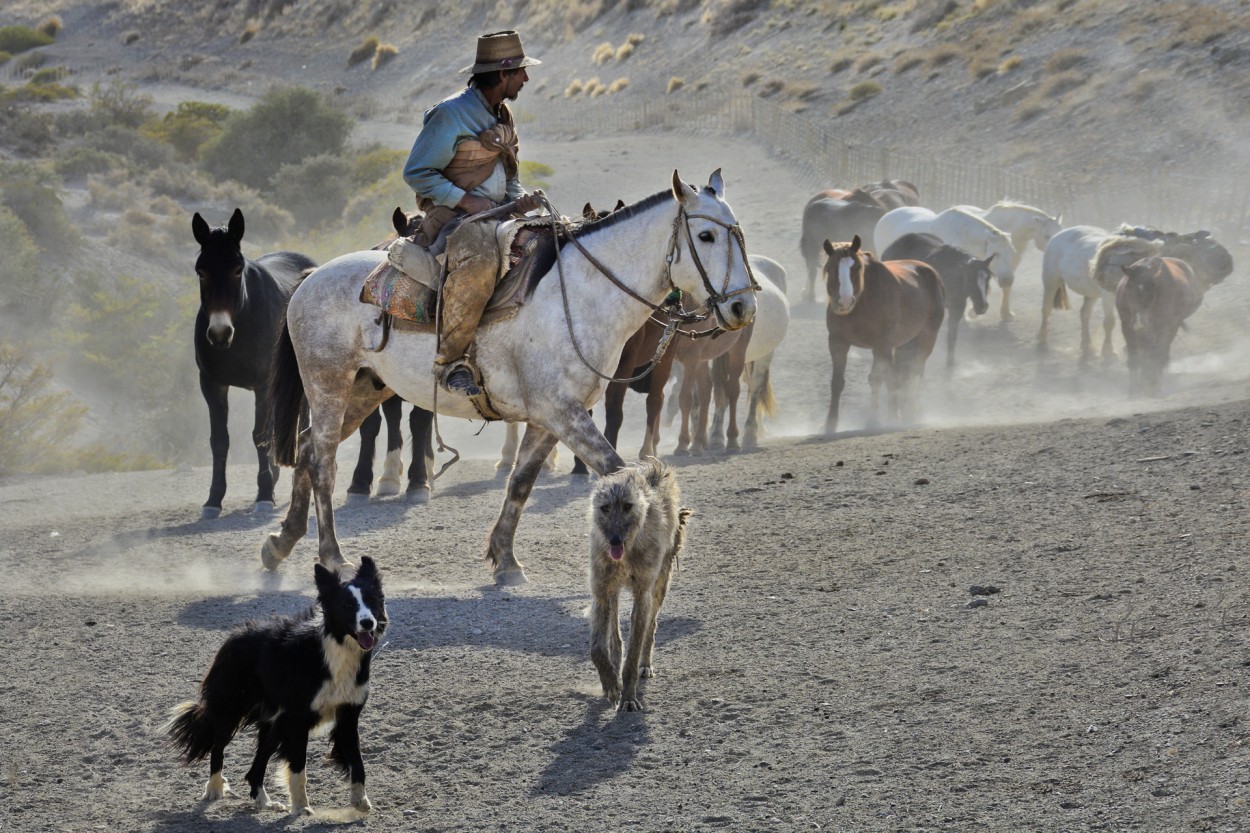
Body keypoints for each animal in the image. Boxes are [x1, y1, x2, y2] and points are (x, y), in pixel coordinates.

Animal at [258, 168, 755, 582]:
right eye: (706, 235)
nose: (742, 307)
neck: (581, 295)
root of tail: (311, 276)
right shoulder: (562, 413)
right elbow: (617, 471)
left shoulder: (548, 418)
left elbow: (520, 482)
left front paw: (506, 560)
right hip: (328, 384)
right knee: (323, 462)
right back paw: (331, 556)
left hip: (365, 390)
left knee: (307, 448)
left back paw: (280, 544)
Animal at [587, 460, 695, 705]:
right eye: (605, 508)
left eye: (628, 506)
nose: (614, 540)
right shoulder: (602, 591)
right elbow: (597, 648)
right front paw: (610, 683)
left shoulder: (642, 593)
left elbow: (635, 649)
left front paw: (628, 695)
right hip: (614, 591)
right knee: (615, 636)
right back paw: (614, 664)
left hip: (660, 584)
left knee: (651, 625)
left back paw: (644, 664)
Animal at [820, 230, 945, 430]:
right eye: (830, 269)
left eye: (857, 268)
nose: (844, 301)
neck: (862, 303)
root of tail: (931, 272)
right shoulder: (838, 343)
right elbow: (837, 382)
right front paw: (830, 424)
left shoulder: (882, 345)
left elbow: (880, 379)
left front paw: (880, 419)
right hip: (903, 345)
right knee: (903, 376)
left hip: (926, 339)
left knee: (914, 373)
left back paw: (910, 413)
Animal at [1120, 252, 1205, 395]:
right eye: (1128, 288)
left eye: (1151, 290)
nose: (1138, 321)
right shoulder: (1127, 326)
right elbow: (1134, 358)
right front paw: (1134, 390)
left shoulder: (1166, 326)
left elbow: (1157, 353)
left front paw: (1153, 385)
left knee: (1159, 352)